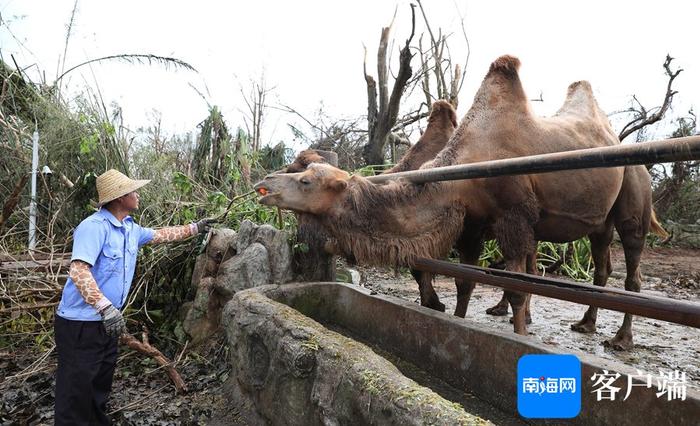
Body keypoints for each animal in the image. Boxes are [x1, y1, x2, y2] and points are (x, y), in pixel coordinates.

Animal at [258, 55, 668, 348]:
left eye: (306, 179)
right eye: (297, 168)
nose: (265, 183)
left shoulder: (512, 216)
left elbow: (514, 286)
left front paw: (518, 338)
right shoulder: (471, 223)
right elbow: (464, 281)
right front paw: (454, 320)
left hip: (633, 195)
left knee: (631, 268)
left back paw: (620, 339)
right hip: (598, 221)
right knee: (599, 267)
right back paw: (584, 324)